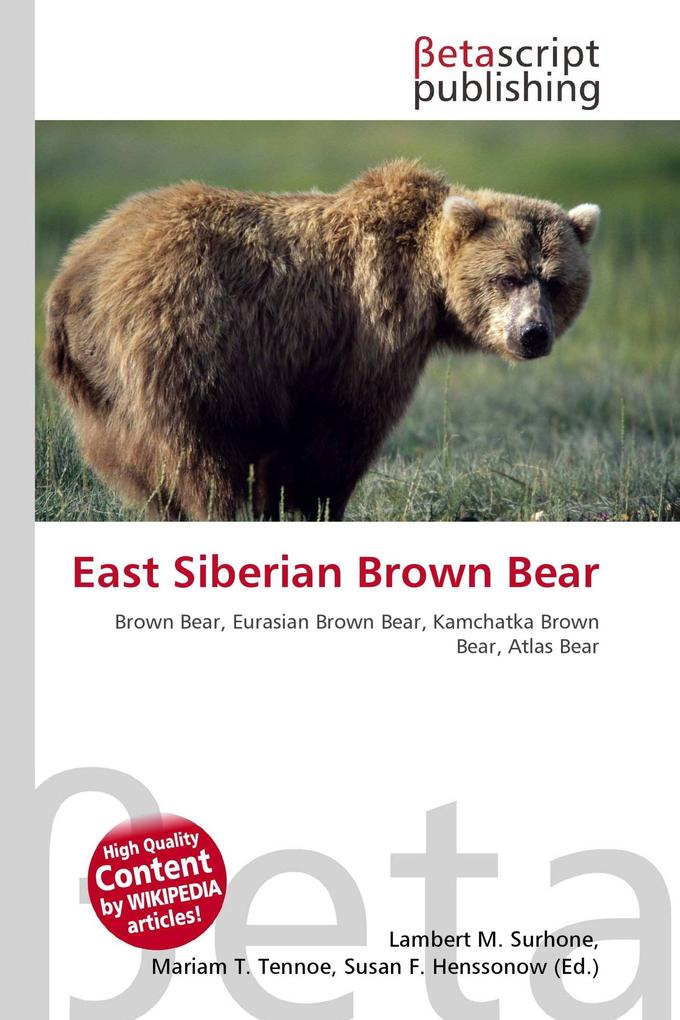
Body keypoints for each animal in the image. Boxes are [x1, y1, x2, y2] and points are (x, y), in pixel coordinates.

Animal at [43, 160, 599, 521]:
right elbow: (340, 430)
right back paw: (219, 509)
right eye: (508, 277)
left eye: (554, 281)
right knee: (198, 448)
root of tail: (77, 272)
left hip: (101, 388)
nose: (533, 333)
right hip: (185, 341)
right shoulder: (364, 330)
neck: (428, 286)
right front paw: (312, 504)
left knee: (136, 461)